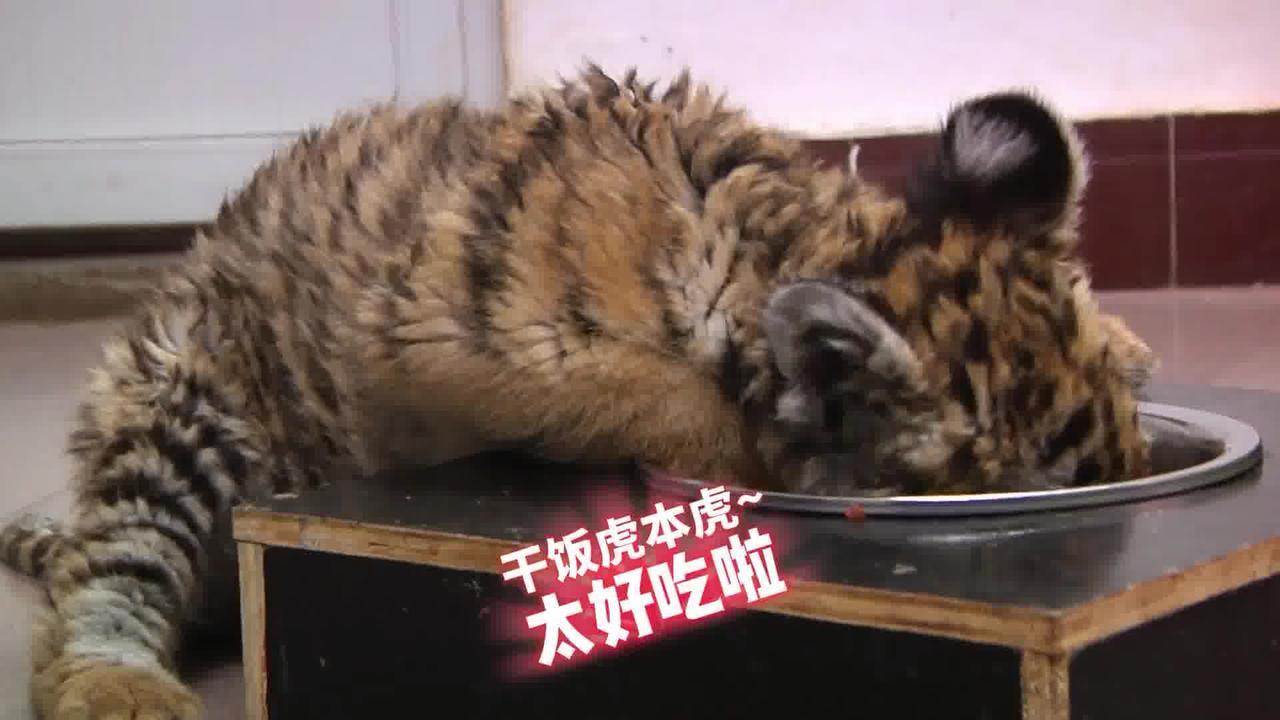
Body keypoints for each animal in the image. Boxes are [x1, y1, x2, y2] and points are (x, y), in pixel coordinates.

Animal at [0, 65, 1156, 718]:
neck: (770, 246)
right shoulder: (448, 334)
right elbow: (659, 400)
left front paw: (1134, 346)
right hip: (184, 392)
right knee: (99, 586)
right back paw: (119, 692)